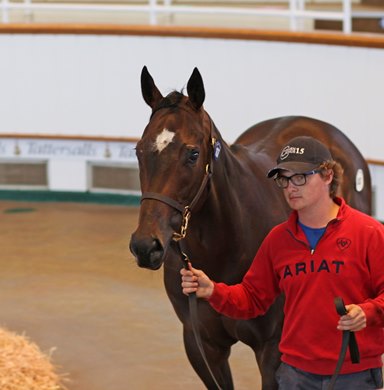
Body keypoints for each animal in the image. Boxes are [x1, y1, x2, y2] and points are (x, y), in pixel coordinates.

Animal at [129, 67, 372, 390]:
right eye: (139, 151)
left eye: (193, 154)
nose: (146, 246)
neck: (227, 247)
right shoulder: (202, 346)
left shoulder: (273, 350)